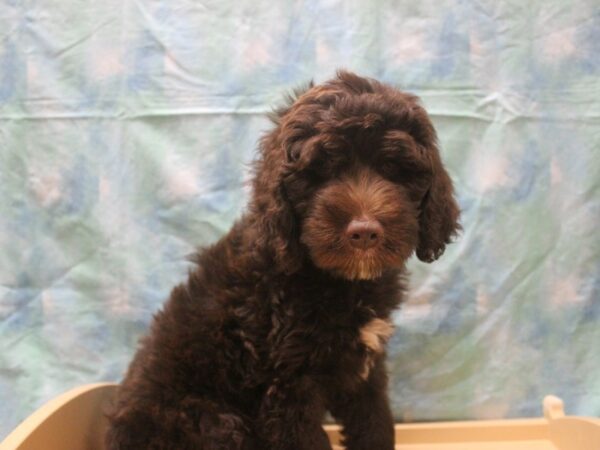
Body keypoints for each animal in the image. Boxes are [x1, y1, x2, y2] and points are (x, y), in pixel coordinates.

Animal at [105, 70, 460, 450]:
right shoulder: (287, 386)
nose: (364, 232)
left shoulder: (364, 370)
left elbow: (375, 423)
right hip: (214, 422)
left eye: (392, 168)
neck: (337, 281)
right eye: (323, 171)